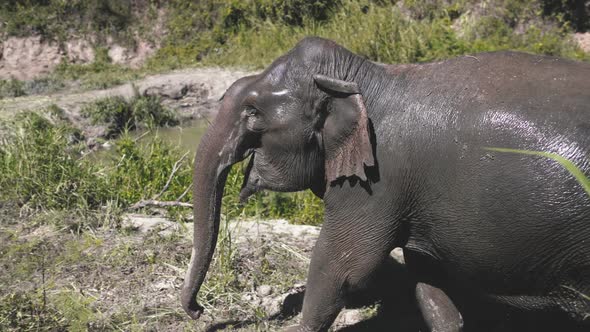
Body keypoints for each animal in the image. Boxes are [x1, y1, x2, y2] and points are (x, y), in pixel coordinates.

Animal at [182, 37, 590, 332]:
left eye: (252, 113)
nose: (198, 311)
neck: (368, 76)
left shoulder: (376, 181)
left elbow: (342, 267)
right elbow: (428, 281)